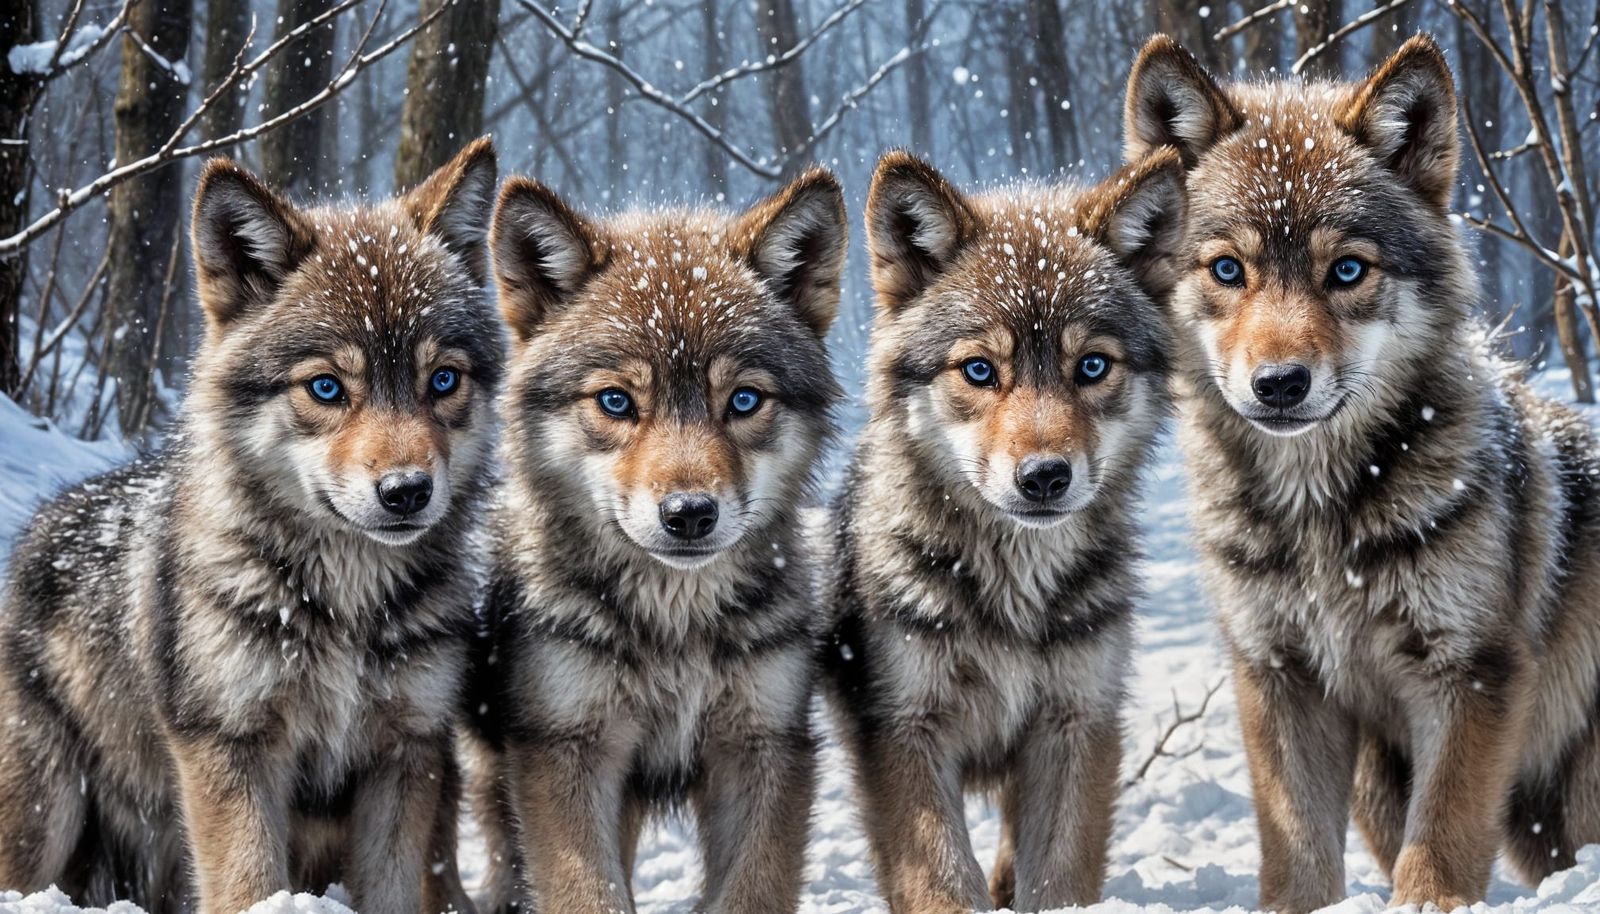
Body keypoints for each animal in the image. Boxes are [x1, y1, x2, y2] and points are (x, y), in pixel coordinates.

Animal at [0, 140, 501, 914]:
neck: (345, 605)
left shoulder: (405, 753)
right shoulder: (229, 748)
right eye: (326, 388)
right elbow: (248, 886)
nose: (407, 492)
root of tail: (39, 525)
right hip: (45, 818)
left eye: (442, 381)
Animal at [462, 166, 848, 914]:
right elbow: (589, 894)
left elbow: (752, 889)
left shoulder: (765, 745)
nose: (689, 514)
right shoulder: (564, 748)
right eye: (616, 402)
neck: (676, 626)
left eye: (744, 401)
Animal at [820, 148, 1185, 914]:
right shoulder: (905, 734)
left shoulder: (1076, 724)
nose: (1044, 477)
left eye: (1092, 366)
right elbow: (941, 884)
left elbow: (1060, 880)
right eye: (980, 370)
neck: (1014, 586)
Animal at [1124, 33, 1600, 913]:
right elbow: (1299, 854)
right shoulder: (1279, 676)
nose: (1279, 384)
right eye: (1228, 270)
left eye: (1347, 271)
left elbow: (1439, 845)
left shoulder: (1470, 673)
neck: (1319, 517)